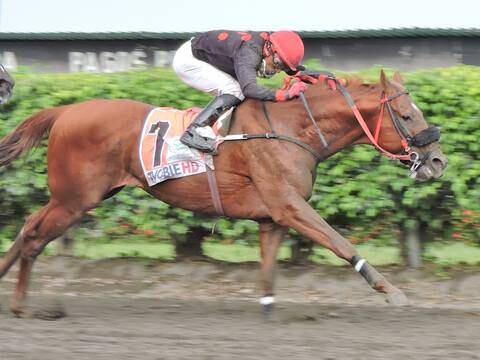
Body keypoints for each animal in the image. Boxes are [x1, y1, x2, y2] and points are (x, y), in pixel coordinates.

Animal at [0, 70, 446, 318]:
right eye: (406, 115)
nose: (438, 160)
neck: (291, 128)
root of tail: (65, 111)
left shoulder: (271, 217)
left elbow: (268, 271)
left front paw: (268, 313)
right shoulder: (290, 206)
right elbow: (341, 242)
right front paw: (392, 292)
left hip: (78, 197)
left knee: (27, 226)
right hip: (75, 199)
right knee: (34, 237)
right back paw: (21, 306)